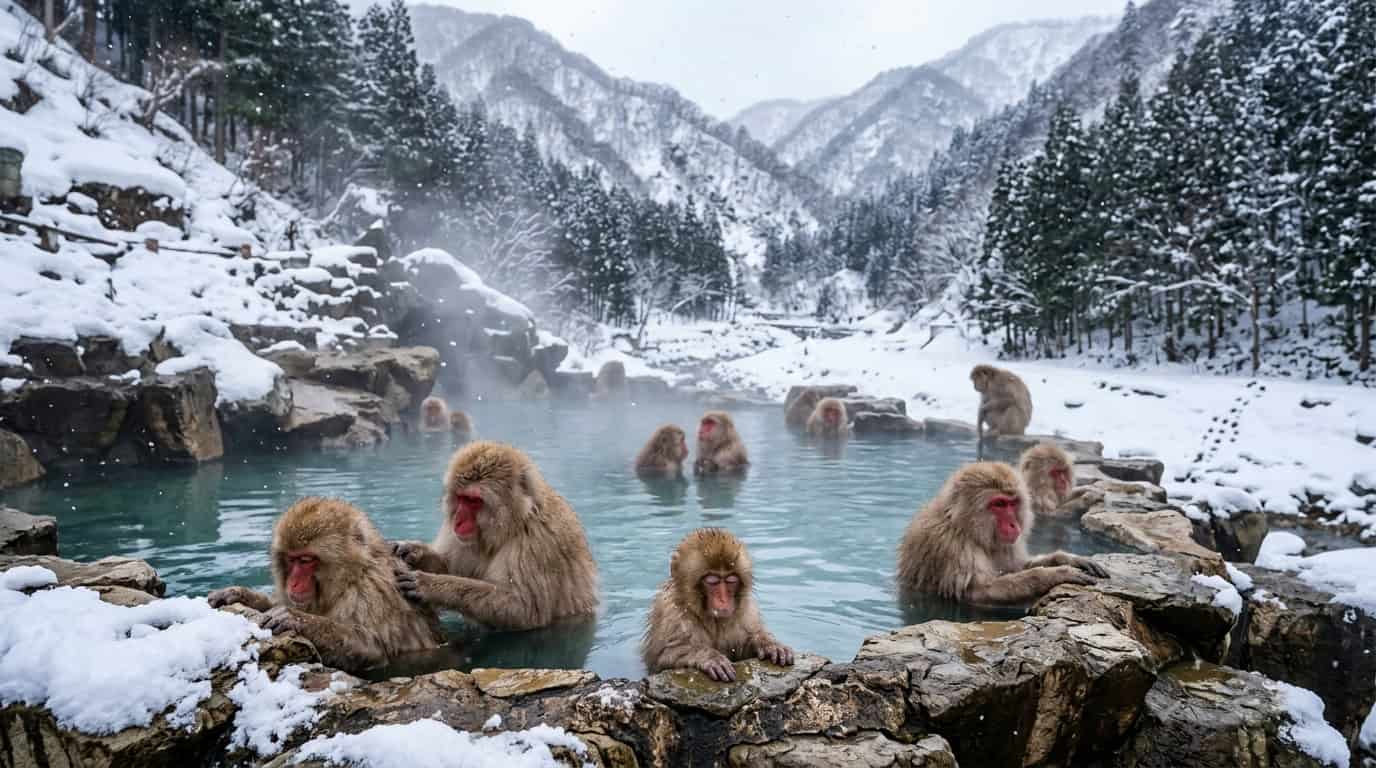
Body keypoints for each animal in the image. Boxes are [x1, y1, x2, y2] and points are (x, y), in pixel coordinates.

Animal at [207, 497, 443, 672]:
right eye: (291, 559)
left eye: (306, 560)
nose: (293, 583)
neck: (350, 578)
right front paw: (239, 594)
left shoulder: (374, 592)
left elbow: (375, 648)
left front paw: (297, 619)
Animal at [392, 441, 599, 631]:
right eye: (460, 497)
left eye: (473, 501)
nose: (457, 521)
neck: (516, 523)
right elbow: (453, 567)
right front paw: (413, 551)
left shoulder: (538, 542)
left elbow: (524, 609)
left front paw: (431, 586)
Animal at [642, 528, 794, 681]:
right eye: (712, 581)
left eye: (731, 580)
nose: (723, 600)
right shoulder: (671, 613)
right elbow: (662, 658)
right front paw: (709, 656)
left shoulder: (747, 609)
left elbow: (744, 648)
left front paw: (768, 643)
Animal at [896, 462, 1107, 605]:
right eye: (998, 504)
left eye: (1012, 503)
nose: (1014, 524)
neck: (965, 528)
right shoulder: (952, 548)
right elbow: (975, 593)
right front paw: (1054, 574)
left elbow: (1016, 567)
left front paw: (1067, 559)